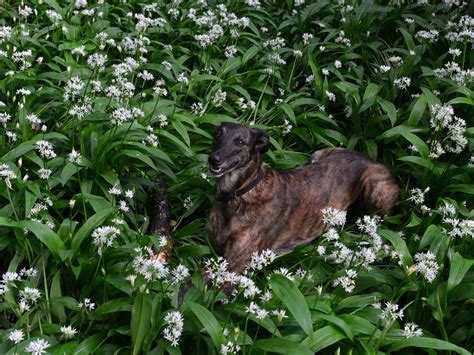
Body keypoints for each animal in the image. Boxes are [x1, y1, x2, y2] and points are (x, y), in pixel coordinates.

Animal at [209, 122, 398, 276]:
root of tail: (368, 157)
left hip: (373, 189)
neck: (241, 193)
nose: (214, 159)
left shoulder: (235, 266)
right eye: (217, 134)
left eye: (240, 142)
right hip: (318, 154)